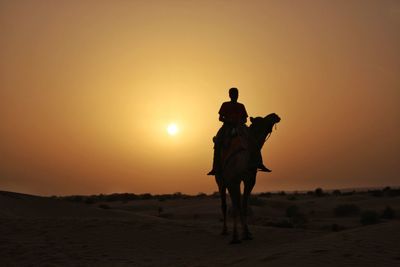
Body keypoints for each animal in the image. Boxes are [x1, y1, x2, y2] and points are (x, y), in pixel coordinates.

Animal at [212, 113, 282, 245]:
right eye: (264, 121)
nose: (275, 116)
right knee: (225, 205)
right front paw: (240, 235)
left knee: (236, 204)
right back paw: (226, 232)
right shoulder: (237, 181)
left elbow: (244, 206)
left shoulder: (249, 180)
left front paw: (247, 233)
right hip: (221, 180)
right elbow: (237, 206)